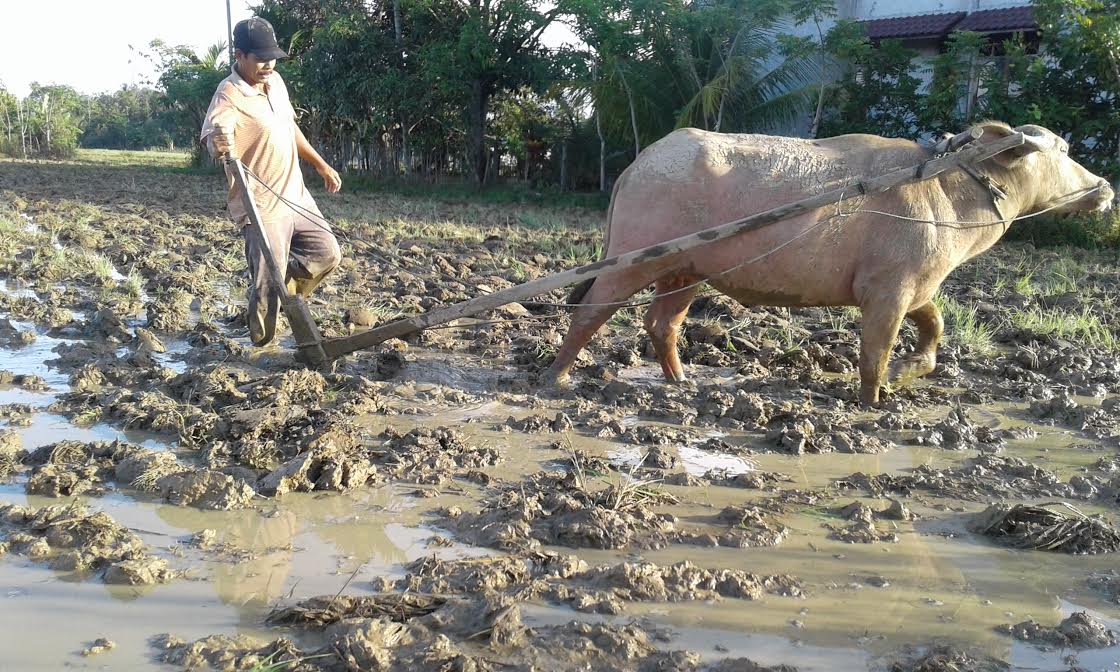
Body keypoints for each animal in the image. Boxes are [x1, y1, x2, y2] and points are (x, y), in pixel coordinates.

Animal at [542, 120, 1111, 403]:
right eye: (1063, 150)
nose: (1105, 188)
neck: (948, 197)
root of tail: (635, 167)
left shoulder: (918, 287)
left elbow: (935, 326)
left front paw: (909, 372)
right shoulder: (887, 292)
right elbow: (875, 351)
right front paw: (875, 401)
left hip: (686, 272)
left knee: (662, 323)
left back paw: (682, 383)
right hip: (632, 260)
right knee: (589, 312)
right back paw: (557, 379)